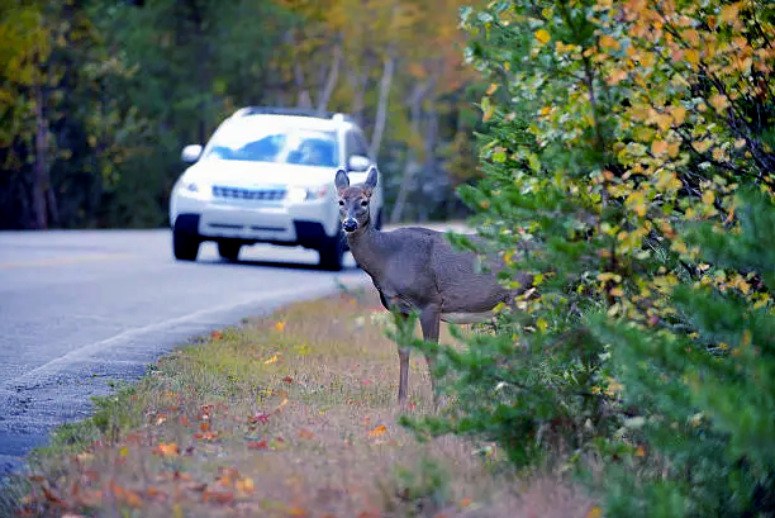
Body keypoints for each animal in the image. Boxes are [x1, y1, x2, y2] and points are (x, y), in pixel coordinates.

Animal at [334, 169, 532, 408]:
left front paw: (438, 404)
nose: (349, 224)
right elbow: (403, 349)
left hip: (520, 297)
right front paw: (401, 402)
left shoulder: (429, 301)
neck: (388, 258)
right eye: (341, 201)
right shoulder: (398, 307)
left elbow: (431, 352)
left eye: (364, 201)